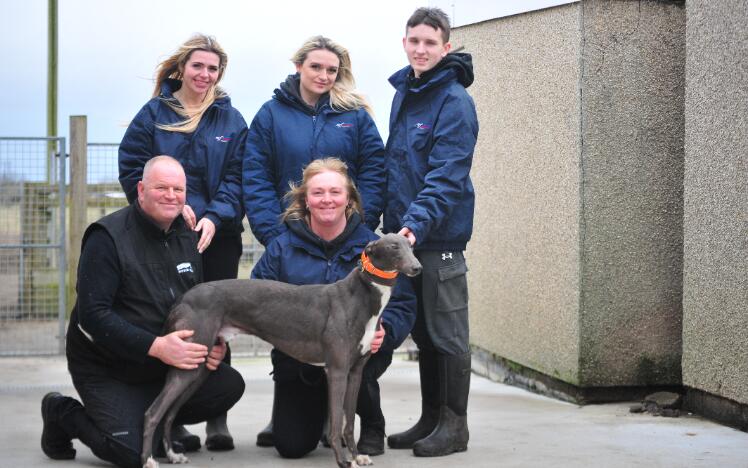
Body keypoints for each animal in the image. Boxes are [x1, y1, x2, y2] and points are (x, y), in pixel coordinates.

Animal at [140, 234, 420, 468]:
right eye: (393, 246)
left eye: (410, 245)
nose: (417, 268)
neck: (360, 297)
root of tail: (183, 299)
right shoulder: (337, 370)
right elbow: (336, 423)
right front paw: (343, 461)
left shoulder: (355, 372)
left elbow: (349, 421)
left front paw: (357, 455)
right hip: (189, 361)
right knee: (153, 412)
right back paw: (149, 460)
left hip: (198, 367)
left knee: (170, 413)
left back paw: (173, 455)